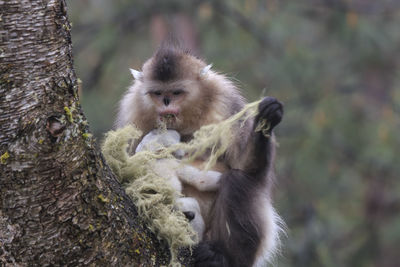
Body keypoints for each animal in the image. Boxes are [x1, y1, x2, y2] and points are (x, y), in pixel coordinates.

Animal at [116, 44, 284, 267]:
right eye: (158, 93)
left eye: (176, 92)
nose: (166, 102)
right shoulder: (132, 111)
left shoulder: (225, 100)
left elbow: (245, 167)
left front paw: (266, 118)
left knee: (238, 180)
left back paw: (221, 256)